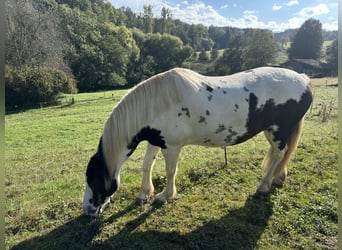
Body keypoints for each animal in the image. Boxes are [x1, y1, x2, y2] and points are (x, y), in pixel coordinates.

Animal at [83, 67, 312, 217]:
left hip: (279, 131)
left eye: (93, 179)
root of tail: (303, 79)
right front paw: (143, 194)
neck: (155, 104)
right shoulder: (155, 141)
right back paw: (277, 178)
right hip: (273, 132)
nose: (86, 210)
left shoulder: (171, 147)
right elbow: (147, 165)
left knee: (279, 154)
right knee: (279, 155)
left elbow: (170, 172)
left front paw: (164, 196)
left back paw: (264, 185)